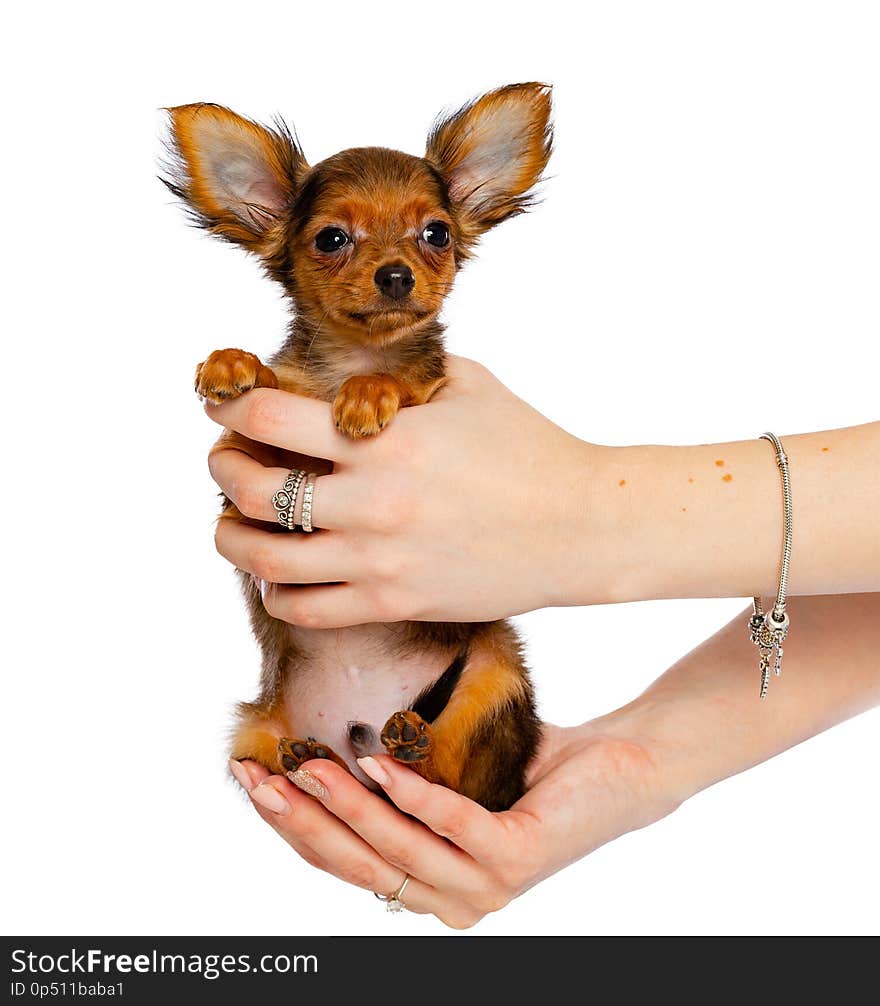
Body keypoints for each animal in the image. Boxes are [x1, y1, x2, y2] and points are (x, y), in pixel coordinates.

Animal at [163, 82, 551, 812]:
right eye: (332, 239)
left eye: (437, 233)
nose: (396, 275)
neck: (352, 357)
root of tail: (363, 734)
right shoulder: (249, 470)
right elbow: (260, 402)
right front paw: (234, 362)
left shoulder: (433, 400)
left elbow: (397, 383)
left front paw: (371, 393)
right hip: (251, 730)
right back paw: (311, 758)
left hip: (496, 668)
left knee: (445, 783)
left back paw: (412, 743)